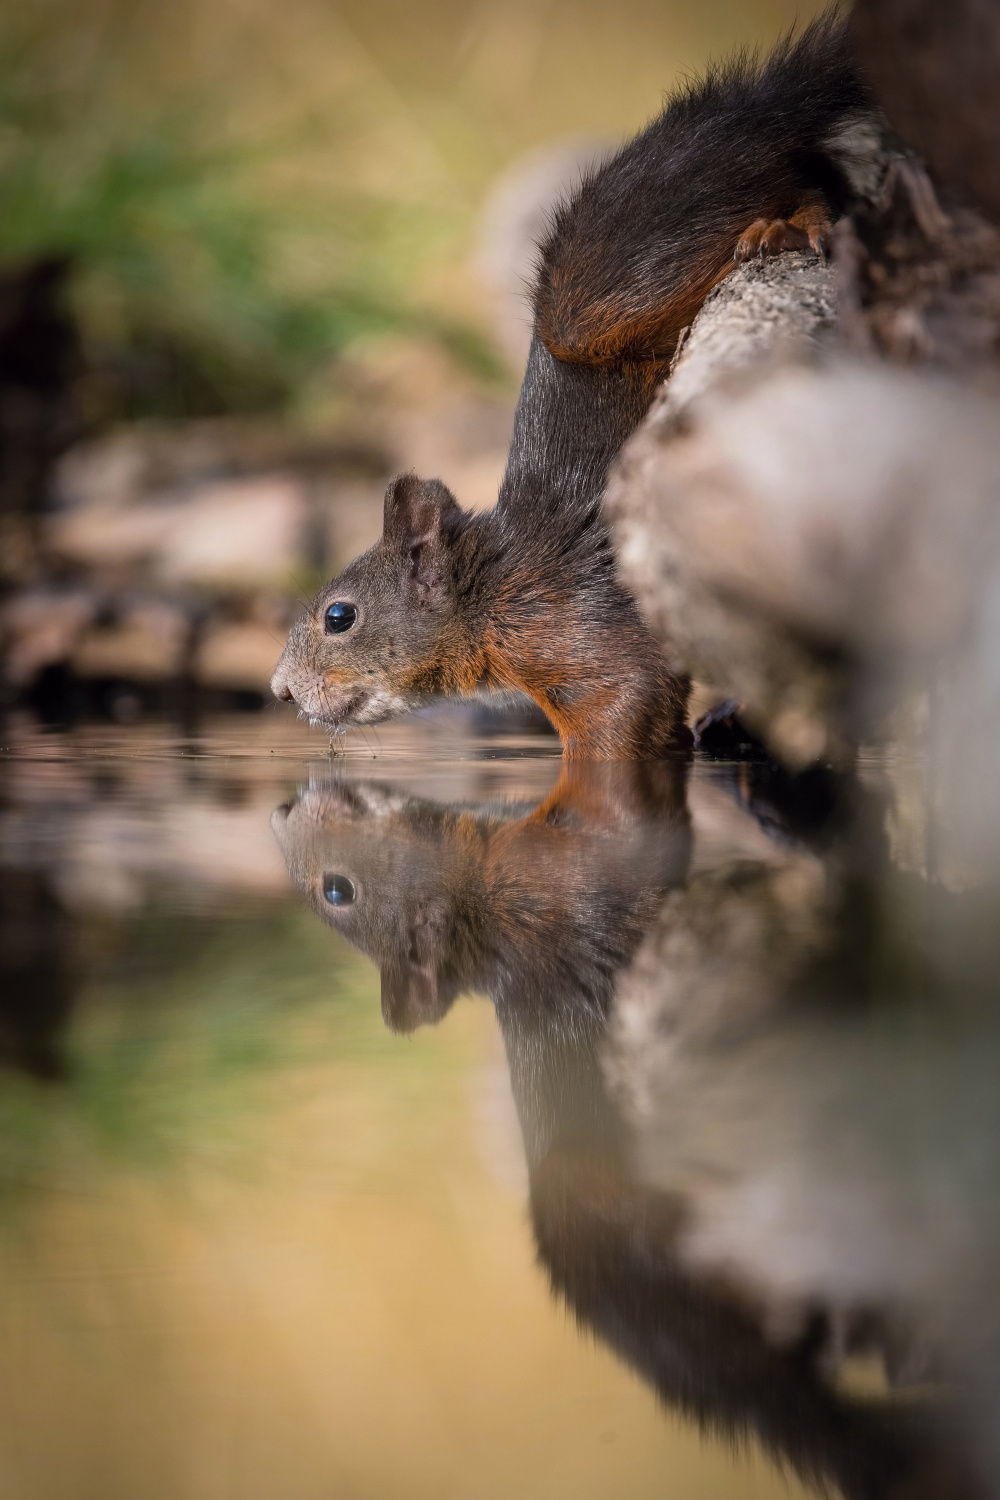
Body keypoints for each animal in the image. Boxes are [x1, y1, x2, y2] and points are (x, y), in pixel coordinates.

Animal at [271, 14, 869, 750]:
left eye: (339, 617)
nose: (280, 690)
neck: (493, 594)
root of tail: (746, 108)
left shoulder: (582, 636)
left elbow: (623, 716)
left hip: (609, 293)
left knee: (794, 183)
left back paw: (788, 226)